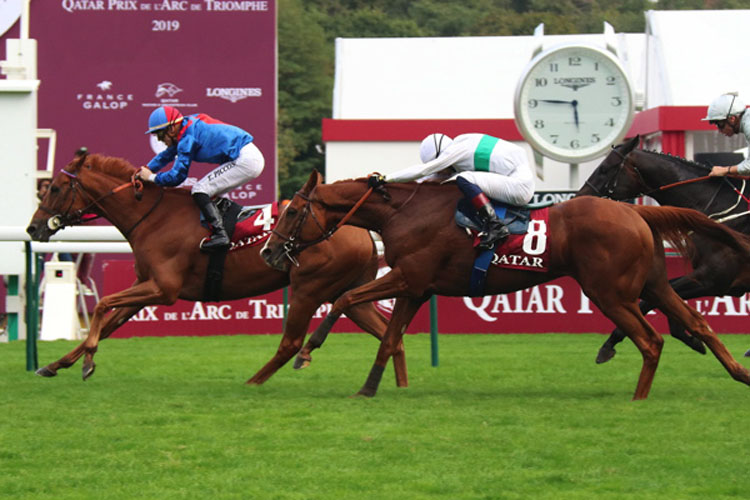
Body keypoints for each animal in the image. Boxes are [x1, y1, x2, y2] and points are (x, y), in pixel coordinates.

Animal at [25, 150, 412, 384]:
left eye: (54, 188)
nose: (33, 228)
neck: (152, 216)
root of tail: (361, 229)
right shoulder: (144, 288)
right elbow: (107, 322)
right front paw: (56, 364)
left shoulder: (163, 289)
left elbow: (102, 305)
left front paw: (87, 362)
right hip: (349, 294)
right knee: (391, 337)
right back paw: (397, 385)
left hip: (308, 288)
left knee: (291, 342)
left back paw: (253, 382)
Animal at [262, 170, 750, 400]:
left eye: (292, 212)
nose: (269, 252)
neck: (403, 213)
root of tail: (637, 210)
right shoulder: (416, 289)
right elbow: (389, 339)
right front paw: (368, 388)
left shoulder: (407, 278)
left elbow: (344, 297)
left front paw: (306, 352)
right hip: (654, 285)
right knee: (698, 324)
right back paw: (740, 373)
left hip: (611, 292)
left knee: (650, 341)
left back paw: (638, 397)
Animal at [580, 137, 750, 364]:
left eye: (604, 169)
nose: (581, 195)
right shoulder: (710, 281)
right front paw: (692, 339)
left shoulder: (713, 280)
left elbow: (647, 303)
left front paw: (609, 344)